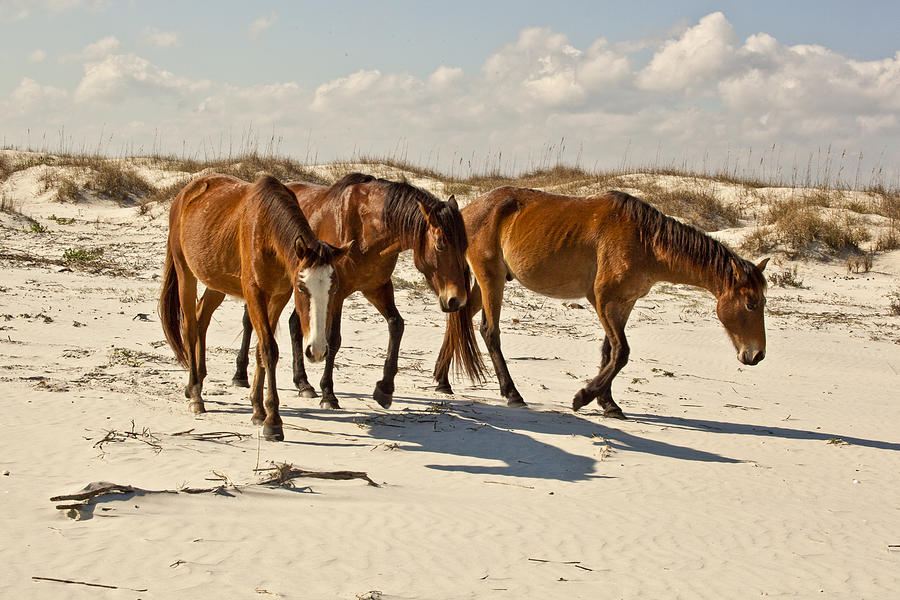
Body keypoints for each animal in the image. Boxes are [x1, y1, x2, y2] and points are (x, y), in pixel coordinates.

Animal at [160, 173, 350, 440]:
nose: (318, 350)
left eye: (333, 289)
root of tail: (185, 194)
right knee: (189, 327)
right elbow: (269, 349)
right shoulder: (254, 294)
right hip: (185, 272)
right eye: (302, 288)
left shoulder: (278, 296)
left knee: (201, 319)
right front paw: (273, 421)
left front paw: (259, 410)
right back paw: (196, 395)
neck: (266, 230)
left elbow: (261, 350)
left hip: (216, 281)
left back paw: (193, 384)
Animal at [232, 171, 486, 410]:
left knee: (295, 325)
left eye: (465, 245)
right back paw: (240, 375)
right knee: (250, 322)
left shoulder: (376, 288)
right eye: (441, 245)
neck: (364, 228)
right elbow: (334, 339)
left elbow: (397, 325)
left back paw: (303, 383)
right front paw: (329, 394)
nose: (456, 300)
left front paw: (385, 389)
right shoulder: (338, 293)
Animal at [432, 188, 768, 418]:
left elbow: (610, 351)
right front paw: (583, 397)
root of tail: (469, 210)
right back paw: (512, 394)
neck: (645, 240)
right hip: (492, 279)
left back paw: (442, 380)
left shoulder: (623, 303)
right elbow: (621, 353)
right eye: (751, 304)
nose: (757, 355)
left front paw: (607, 402)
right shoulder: (603, 300)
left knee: (460, 318)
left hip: (489, 282)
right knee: (490, 331)